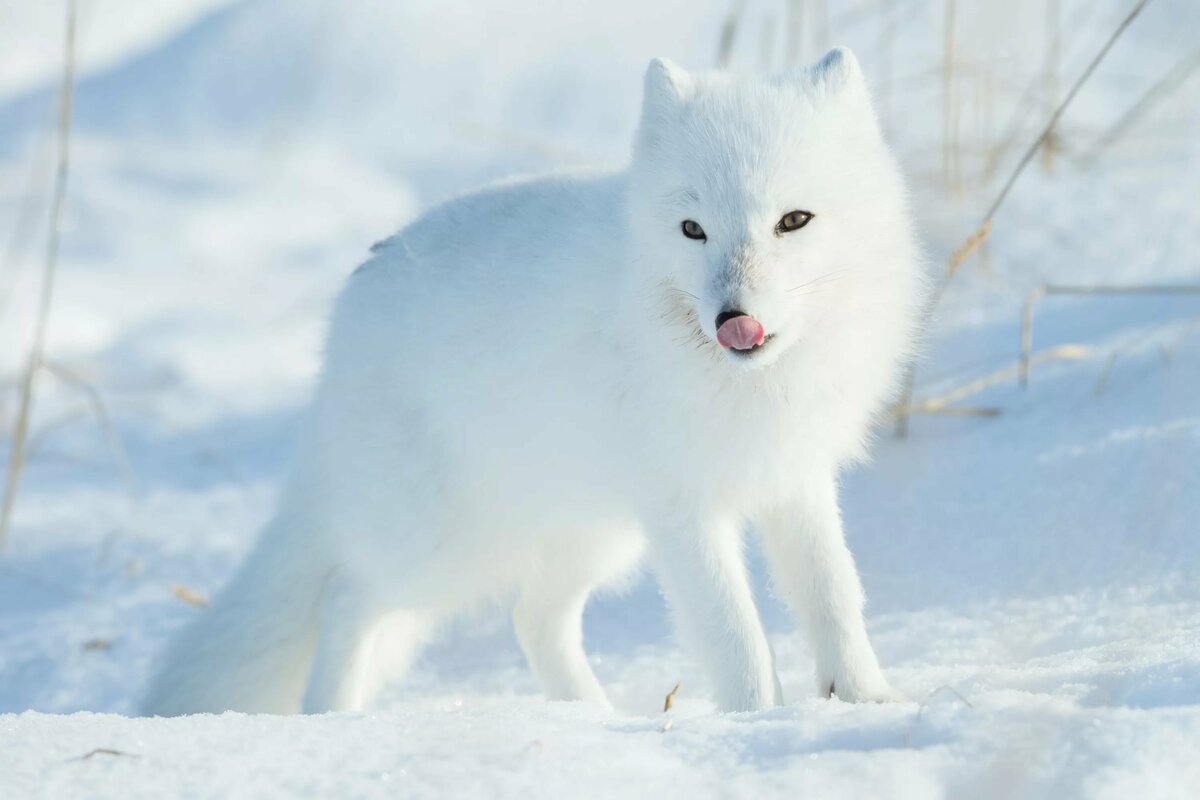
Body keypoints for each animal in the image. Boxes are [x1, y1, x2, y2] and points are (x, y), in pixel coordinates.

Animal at [142, 47, 926, 714]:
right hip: (445, 547)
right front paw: (758, 719)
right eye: (692, 229)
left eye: (794, 220)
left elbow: (834, 597)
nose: (732, 318)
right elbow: (734, 632)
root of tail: (350, 302)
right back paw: (334, 716)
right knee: (346, 597)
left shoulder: (794, 477)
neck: (753, 387)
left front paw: (867, 701)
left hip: (593, 532)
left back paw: (594, 720)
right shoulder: (683, 507)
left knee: (532, 617)